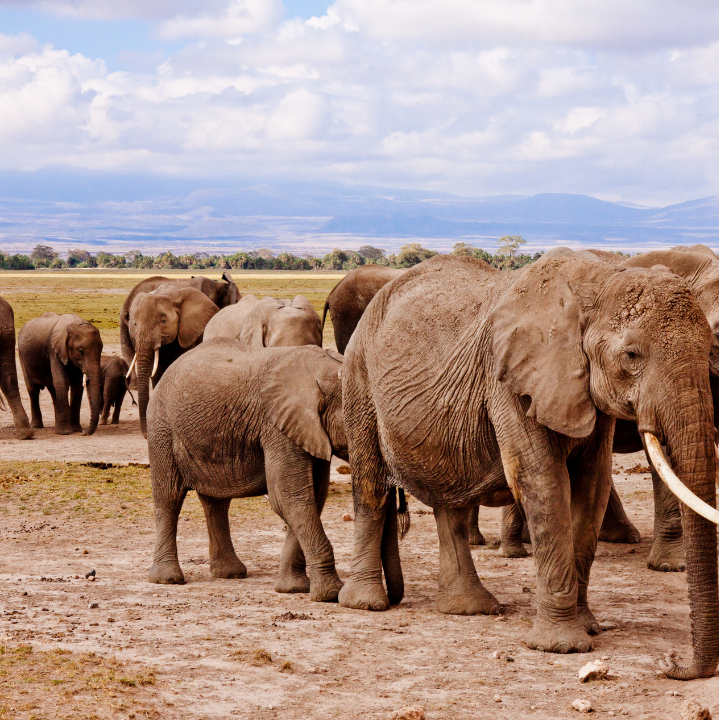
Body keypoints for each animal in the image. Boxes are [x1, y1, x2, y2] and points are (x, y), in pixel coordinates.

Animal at [146, 338, 348, 600]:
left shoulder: (309, 431)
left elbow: (311, 497)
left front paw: (292, 589)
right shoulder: (277, 427)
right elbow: (289, 498)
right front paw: (331, 594)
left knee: (216, 503)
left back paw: (229, 574)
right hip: (161, 427)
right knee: (168, 497)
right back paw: (167, 579)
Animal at [338, 249, 719, 680]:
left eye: (710, 350)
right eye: (631, 355)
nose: (670, 662)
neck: (598, 282)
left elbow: (592, 487)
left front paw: (588, 627)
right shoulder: (509, 380)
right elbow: (544, 482)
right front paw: (562, 646)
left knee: (449, 501)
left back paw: (467, 608)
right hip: (359, 379)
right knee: (371, 484)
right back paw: (366, 603)